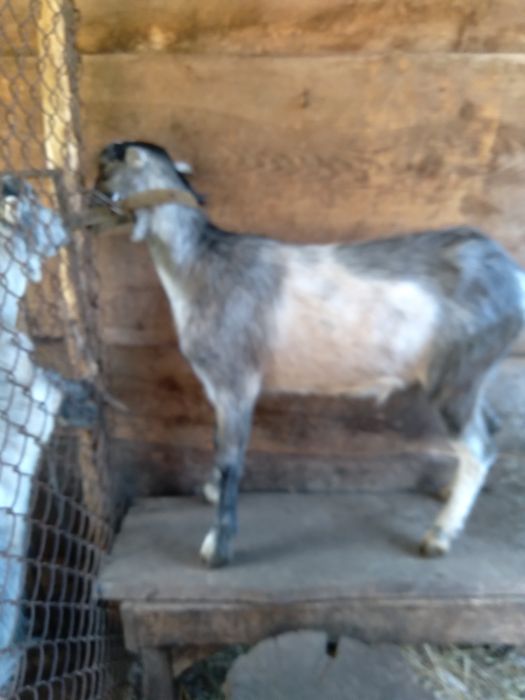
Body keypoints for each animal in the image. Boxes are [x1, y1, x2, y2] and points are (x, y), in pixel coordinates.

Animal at [93, 141, 525, 568]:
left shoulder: (235, 382)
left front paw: (218, 547)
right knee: (490, 426)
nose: (88, 200)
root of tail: (514, 275)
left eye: (102, 171)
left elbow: (231, 459)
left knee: (478, 448)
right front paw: (212, 491)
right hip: (472, 374)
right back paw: (448, 495)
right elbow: (218, 447)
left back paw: (440, 534)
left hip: (455, 374)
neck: (199, 267)